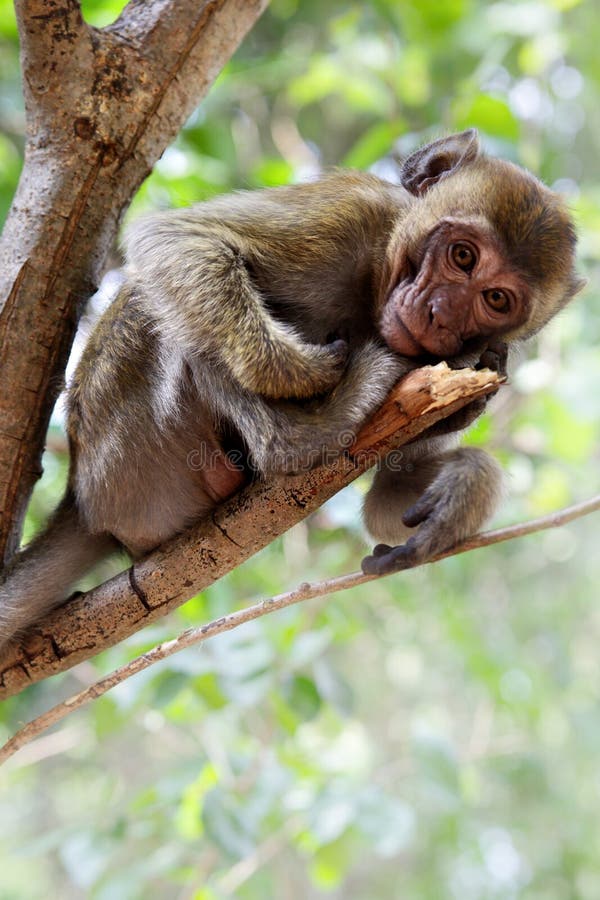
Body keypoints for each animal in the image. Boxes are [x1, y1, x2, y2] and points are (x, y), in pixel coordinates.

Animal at [0, 129, 583, 652]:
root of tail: (82, 496)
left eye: (496, 300)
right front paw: (297, 371)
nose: (441, 315)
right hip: (128, 453)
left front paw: (465, 482)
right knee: (164, 303)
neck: (376, 280)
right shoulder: (351, 211)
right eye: (463, 256)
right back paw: (300, 435)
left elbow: (389, 503)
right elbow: (177, 238)